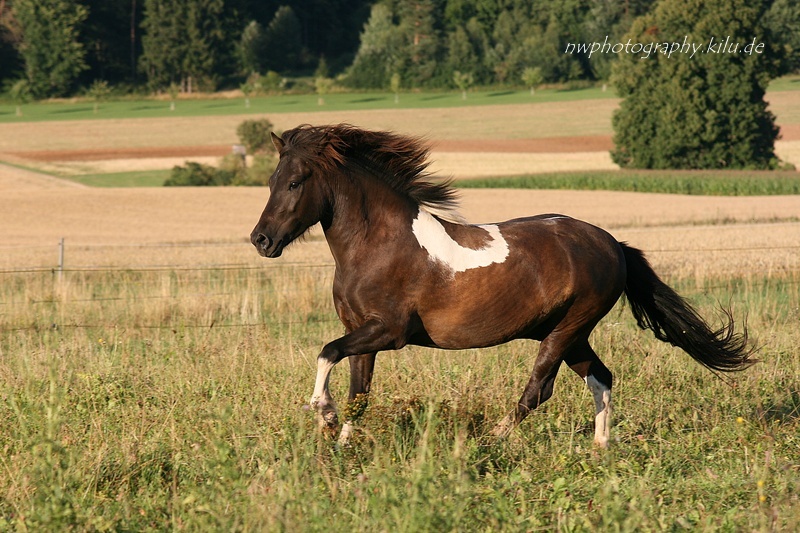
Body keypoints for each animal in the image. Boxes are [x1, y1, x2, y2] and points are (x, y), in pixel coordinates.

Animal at [252, 123, 756, 444]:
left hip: (567, 329)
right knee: (601, 377)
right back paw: (600, 450)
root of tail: (613, 244)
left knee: (538, 390)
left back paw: (492, 441)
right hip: (571, 333)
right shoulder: (363, 333)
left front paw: (322, 414)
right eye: (272, 179)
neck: (379, 245)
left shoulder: (388, 332)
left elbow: (326, 352)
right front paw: (339, 445)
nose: (261, 240)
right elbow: (358, 394)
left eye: (296, 182)